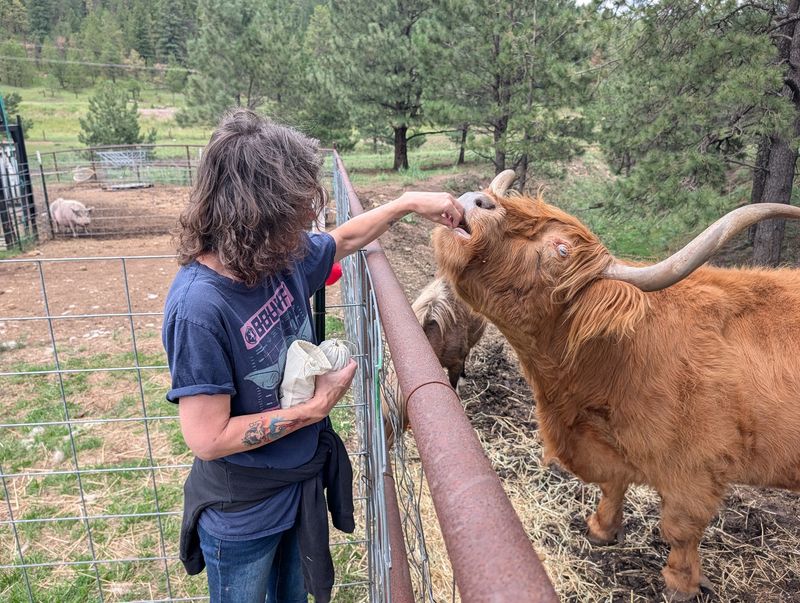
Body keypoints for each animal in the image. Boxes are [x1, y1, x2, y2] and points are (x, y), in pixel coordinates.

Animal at [432, 170, 800, 601]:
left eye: (561, 250)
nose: (477, 200)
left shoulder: (696, 471)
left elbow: (680, 529)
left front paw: (680, 584)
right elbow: (612, 484)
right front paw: (601, 530)